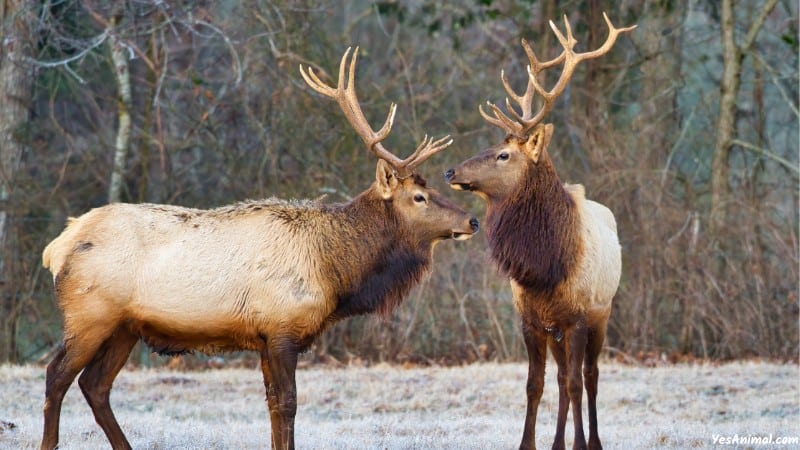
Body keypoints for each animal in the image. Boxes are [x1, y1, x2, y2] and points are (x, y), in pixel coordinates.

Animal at [40, 48, 478, 450]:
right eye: (420, 197)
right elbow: (288, 404)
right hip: (89, 314)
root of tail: (59, 246)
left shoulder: (265, 338)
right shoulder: (282, 328)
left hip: (124, 327)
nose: (472, 220)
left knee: (95, 386)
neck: (336, 274)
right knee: (57, 377)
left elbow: (271, 405)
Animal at [444, 13, 632, 450]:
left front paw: (581, 444)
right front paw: (528, 443)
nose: (451, 171)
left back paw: (593, 440)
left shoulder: (578, 316)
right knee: (562, 378)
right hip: (557, 330)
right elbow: (535, 384)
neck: (545, 267)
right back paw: (558, 441)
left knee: (589, 377)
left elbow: (577, 383)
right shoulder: (531, 320)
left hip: (603, 312)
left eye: (503, 154)